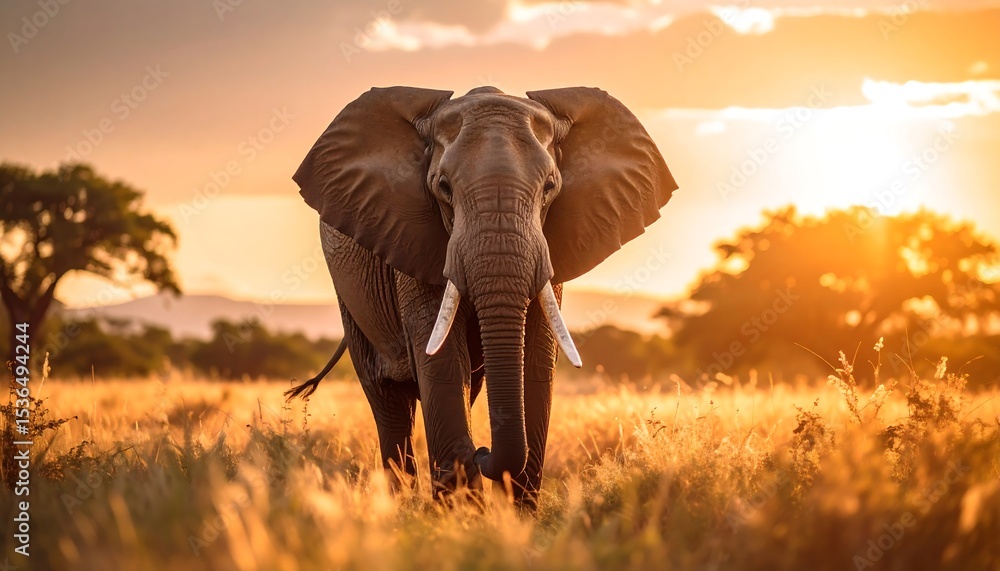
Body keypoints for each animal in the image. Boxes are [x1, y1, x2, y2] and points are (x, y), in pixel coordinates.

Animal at [286, 85, 677, 509]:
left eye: (550, 187)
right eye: (443, 187)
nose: (483, 452)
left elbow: (536, 361)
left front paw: (517, 518)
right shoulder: (414, 242)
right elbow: (442, 361)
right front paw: (461, 516)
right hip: (351, 298)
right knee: (388, 403)